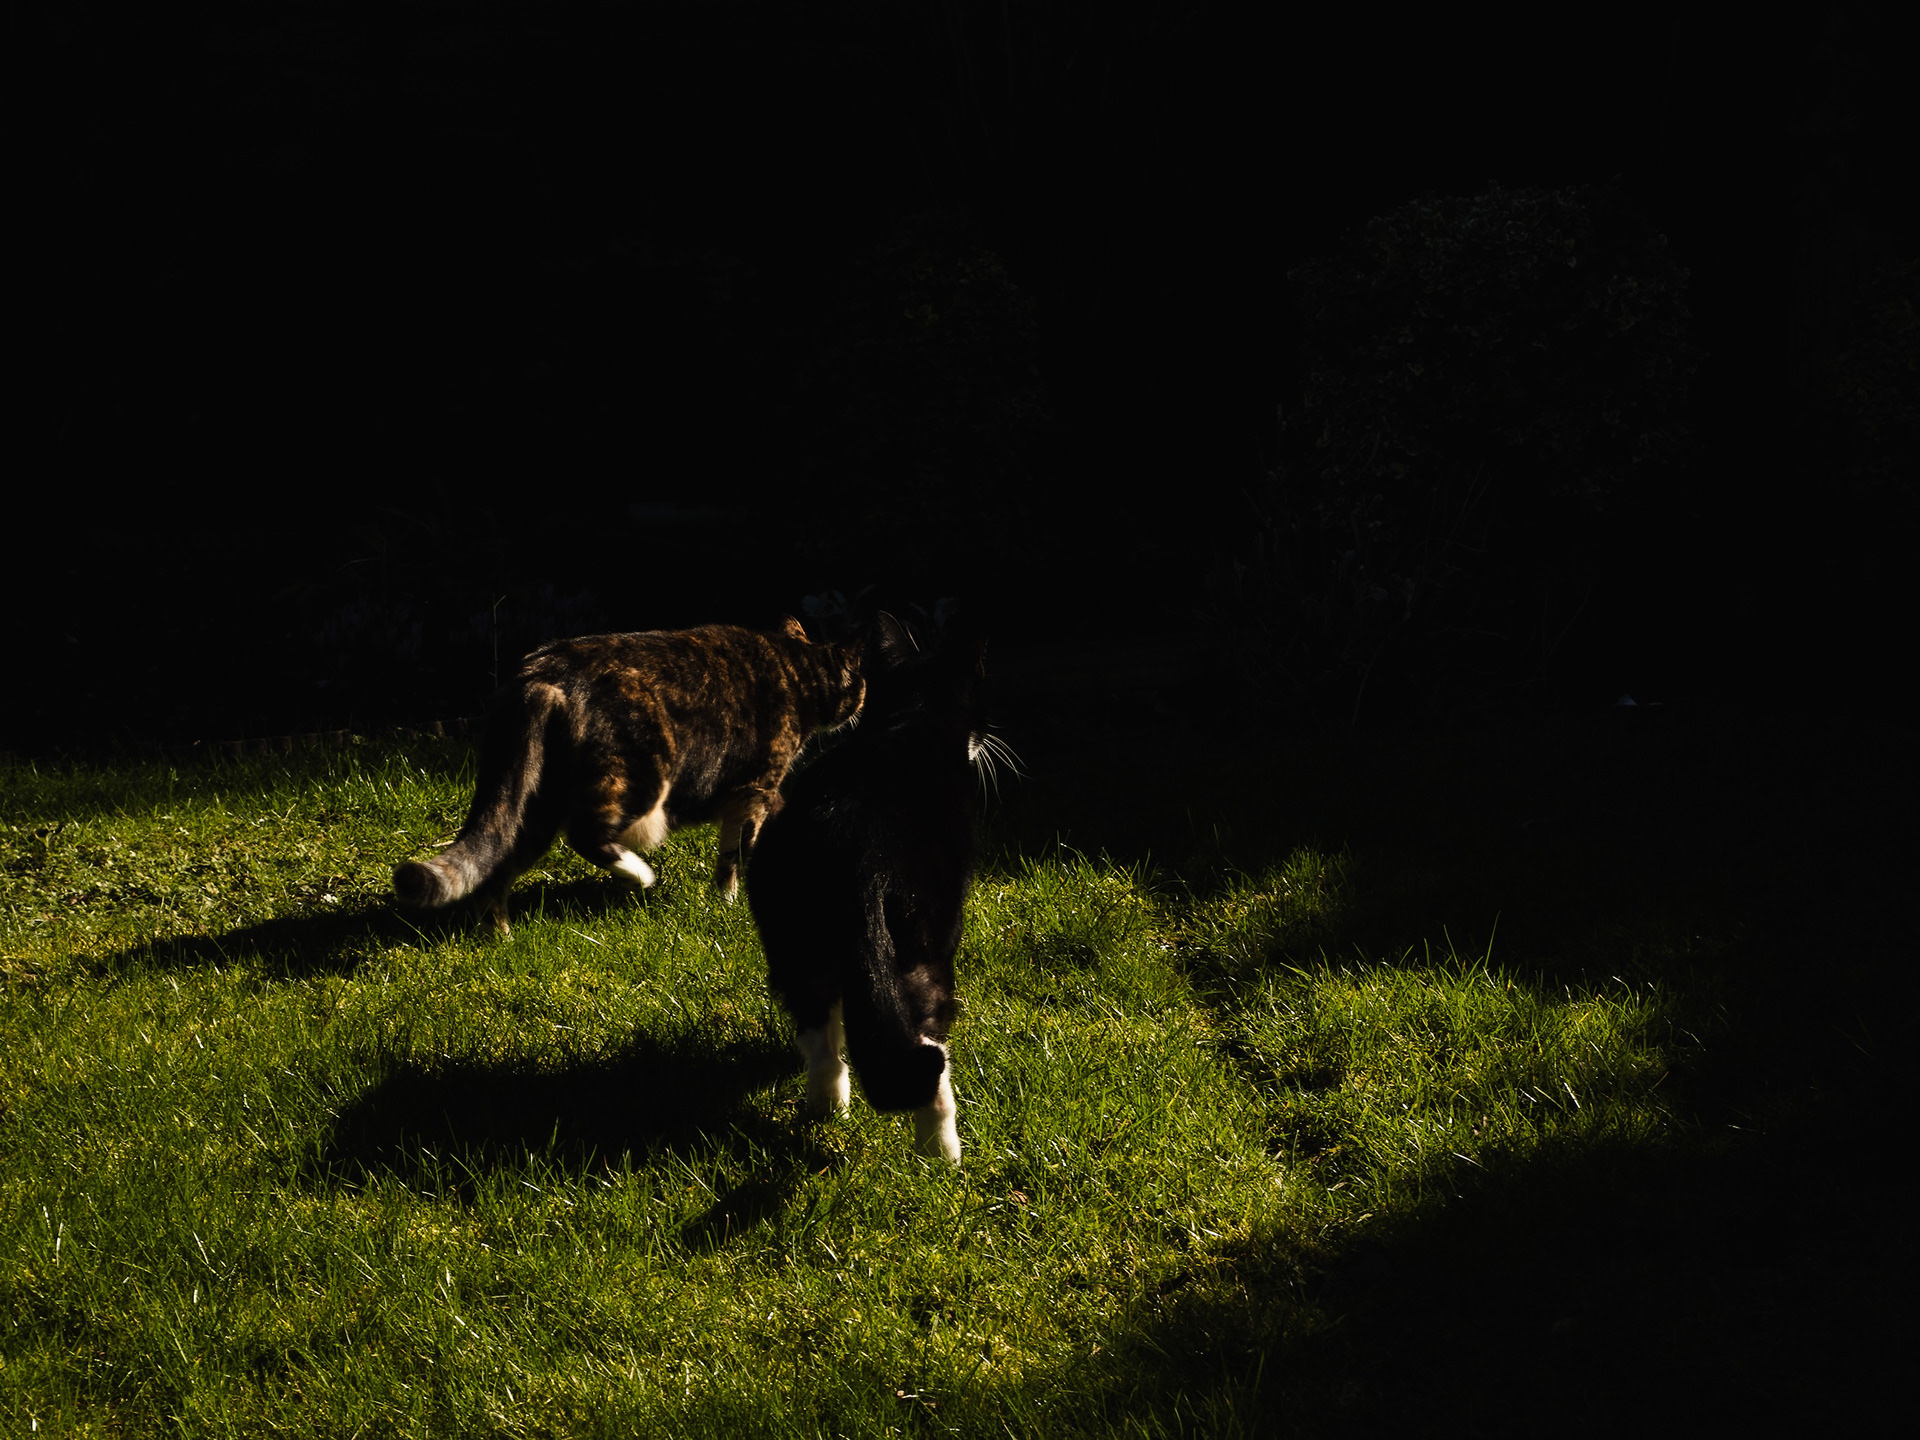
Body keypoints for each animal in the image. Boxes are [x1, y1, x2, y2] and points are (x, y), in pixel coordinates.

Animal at [394, 619, 866, 933]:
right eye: (861, 683)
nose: (860, 706)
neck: (796, 668)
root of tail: (540, 675)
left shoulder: (752, 797)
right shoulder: (756, 790)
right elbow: (735, 855)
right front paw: (732, 902)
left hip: (531, 803)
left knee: (497, 865)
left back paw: (499, 937)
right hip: (641, 778)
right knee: (586, 835)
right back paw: (638, 873)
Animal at [746, 612, 994, 1164]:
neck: (913, 716)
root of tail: (852, 847)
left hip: (793, 938)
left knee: (818, 1030)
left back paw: (828, 1108)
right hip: (921, 949)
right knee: (928, 1048)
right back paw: (941, 1153)